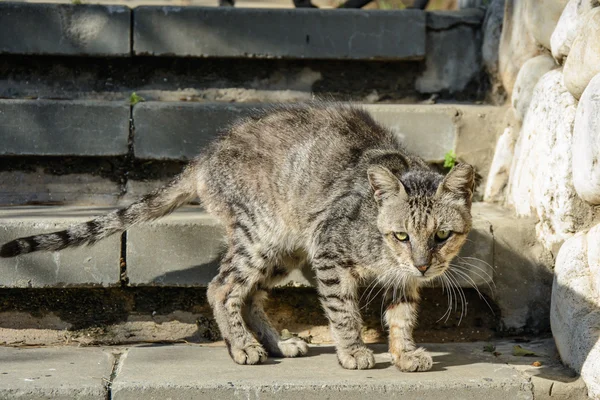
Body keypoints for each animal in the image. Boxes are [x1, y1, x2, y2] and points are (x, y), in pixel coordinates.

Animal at [1, 103, 474, 372]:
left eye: (441, 236)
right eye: (401, 235)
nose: (423, 264)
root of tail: (203, 156)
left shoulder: (400, 280)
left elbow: (402, 318)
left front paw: (405, 353)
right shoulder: (328, 250)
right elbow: (344, 312)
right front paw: (353, 351)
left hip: (284, 250)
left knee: (249, 295)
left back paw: (276, 343)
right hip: (260, 235)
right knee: (222, 287)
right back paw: (242, 346)